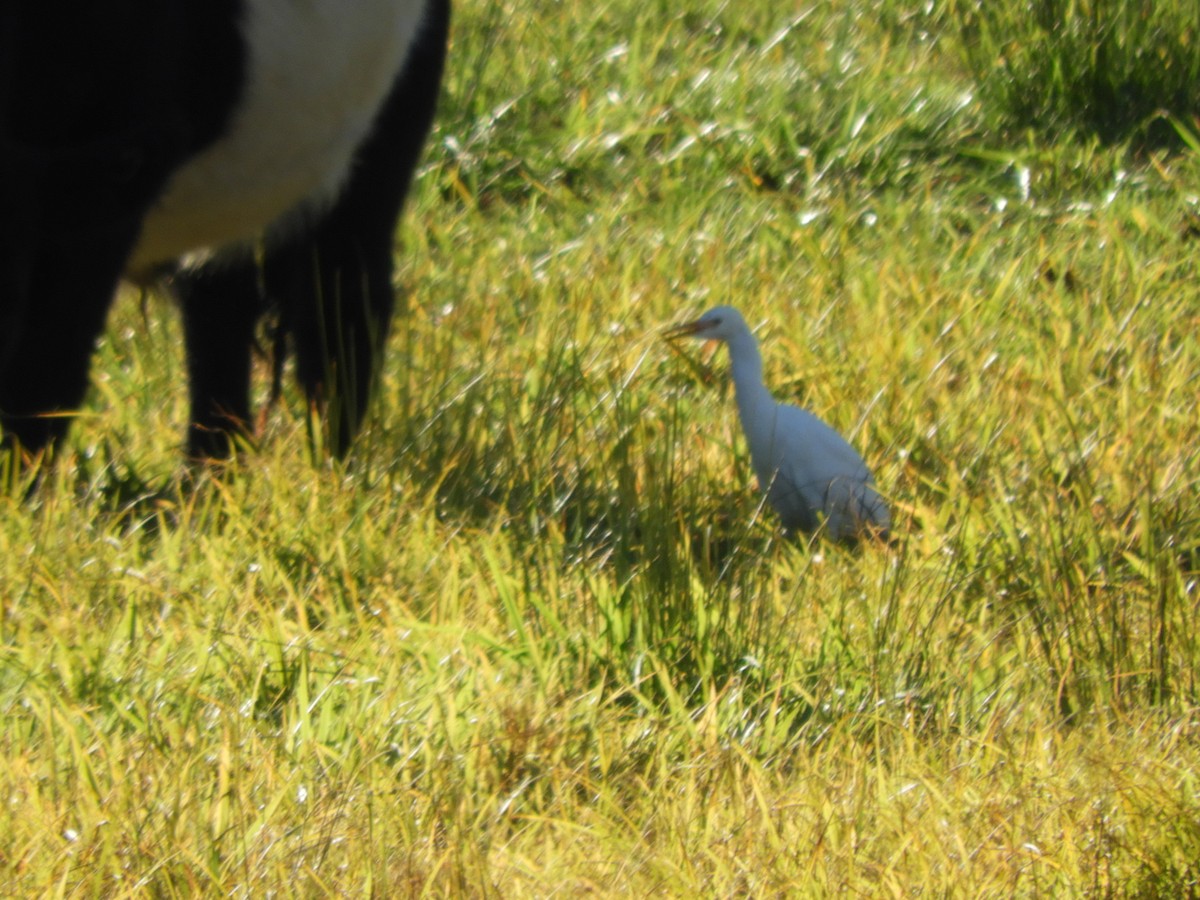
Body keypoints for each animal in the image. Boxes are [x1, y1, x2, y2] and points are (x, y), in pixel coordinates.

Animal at [0, 0, 450, 461]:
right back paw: (212, 470)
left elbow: (44, 375)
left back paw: (329, 465)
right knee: (221, 312)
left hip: (386, 129)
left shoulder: (106, 188)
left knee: (340, 305)